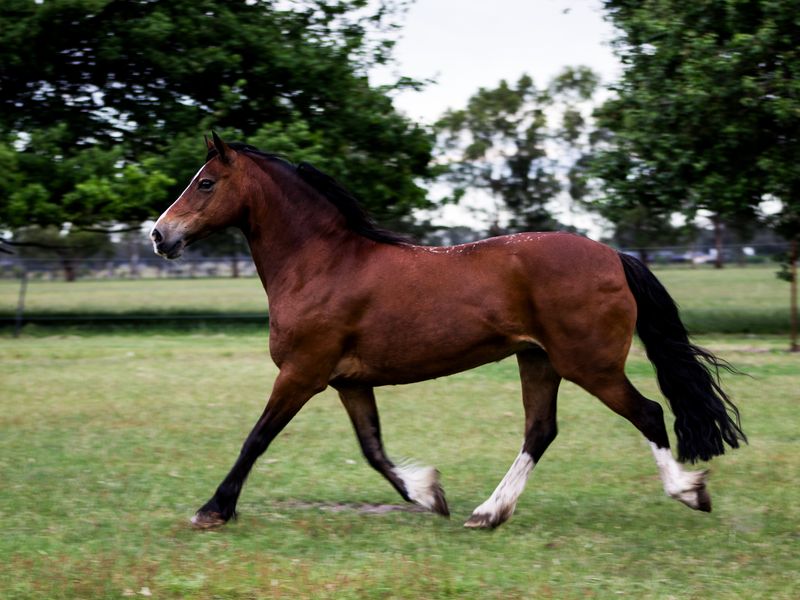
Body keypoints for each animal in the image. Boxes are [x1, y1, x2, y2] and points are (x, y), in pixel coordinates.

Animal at [150, 132, 746, 529]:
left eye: (205, 183)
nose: (159, 235)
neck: (323, 263)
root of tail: (613, 256)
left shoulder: (302, 374)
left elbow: (257, 438)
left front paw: (213, 509)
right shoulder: (349, 382)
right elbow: (373, 449)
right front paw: (429, 495)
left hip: (589, 365)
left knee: (648, 413)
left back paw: (689, 492)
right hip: (539, 360)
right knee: (540, 431)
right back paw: (488, 513)